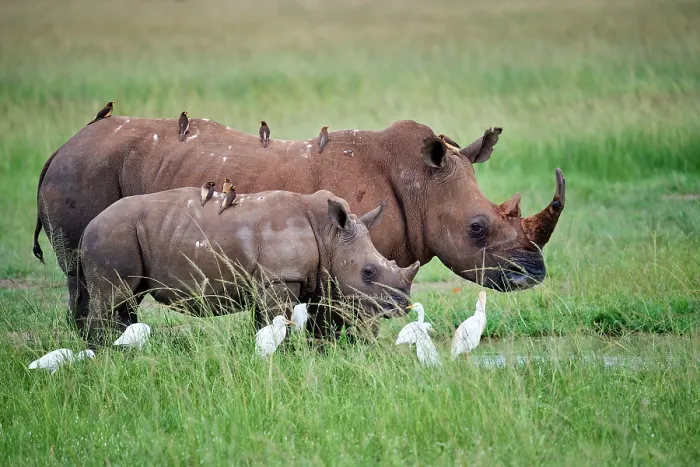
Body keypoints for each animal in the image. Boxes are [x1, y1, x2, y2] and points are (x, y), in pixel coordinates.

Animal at [34, 119, 565, 316]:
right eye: (477, 229)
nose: (534, 273)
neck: (419, 184)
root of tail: (60, 147)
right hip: (81, 172)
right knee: (84, 278)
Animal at [76, 188, 420, 347]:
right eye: (368, 272)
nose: (402, 305)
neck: (330, 236)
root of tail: (87, 227)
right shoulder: (281, 278)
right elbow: (276, 321)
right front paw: (283, 353)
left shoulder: (280, 279)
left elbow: (268, 322)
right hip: (112, 234)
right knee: (112, 297)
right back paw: (104, 352)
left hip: (122, 233)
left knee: (127, 300)